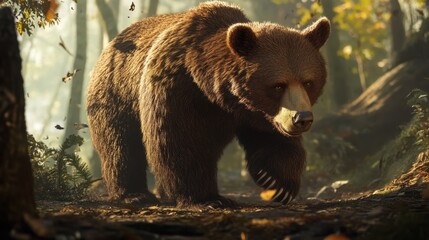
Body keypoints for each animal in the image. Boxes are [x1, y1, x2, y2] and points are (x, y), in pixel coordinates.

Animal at [86, 0, 328, 207]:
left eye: (308, 82)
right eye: (278, 85)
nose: (302, 119)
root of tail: (110, 44)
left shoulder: (256, 114)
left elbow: (273, 140)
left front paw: (277, 182)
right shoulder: (176, 89)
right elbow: (180, 140)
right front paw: (208, 198)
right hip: (116, 94)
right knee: (120, 144)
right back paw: (134, 194)